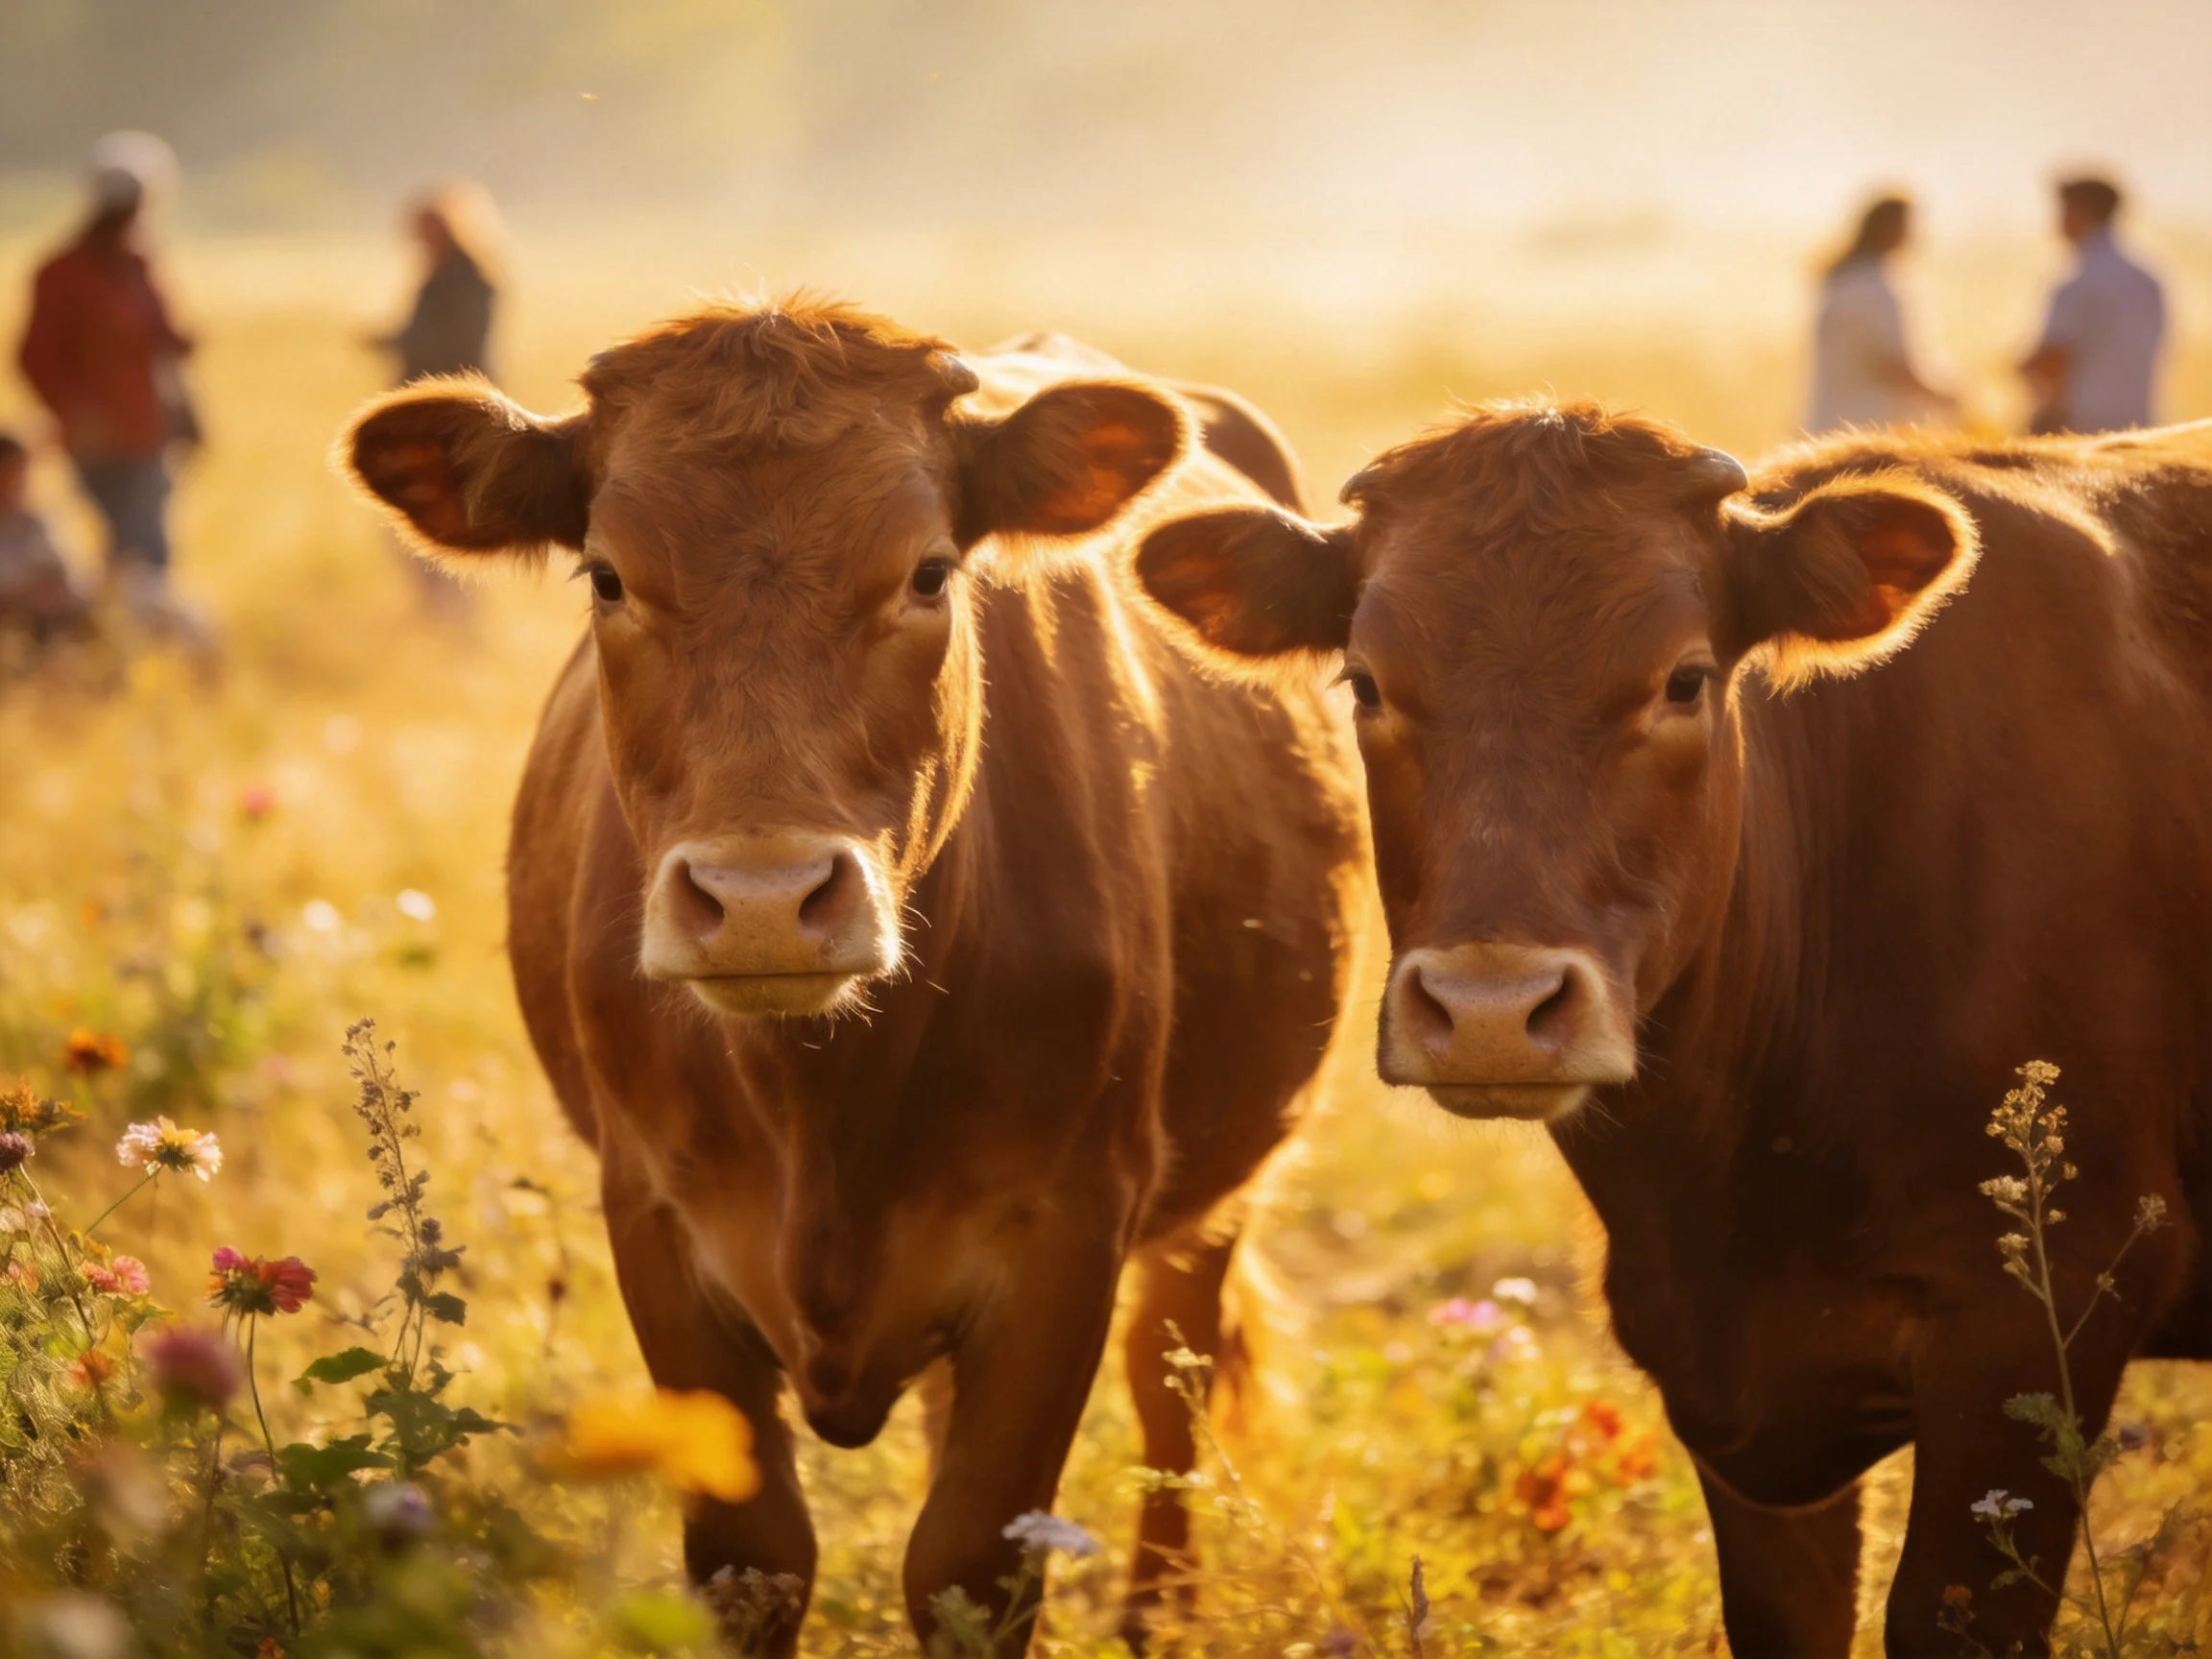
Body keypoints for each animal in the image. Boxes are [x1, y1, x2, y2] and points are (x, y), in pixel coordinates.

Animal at [339, 300, 1365, 1654]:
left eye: (929, 571)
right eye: (606, 576)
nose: (762, 901)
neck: (823, 1101)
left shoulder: (1070, 1231)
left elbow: (972, 1562)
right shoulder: (654, 1221)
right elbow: (755, 1559)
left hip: (1221, 1190)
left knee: (1170, 1387)